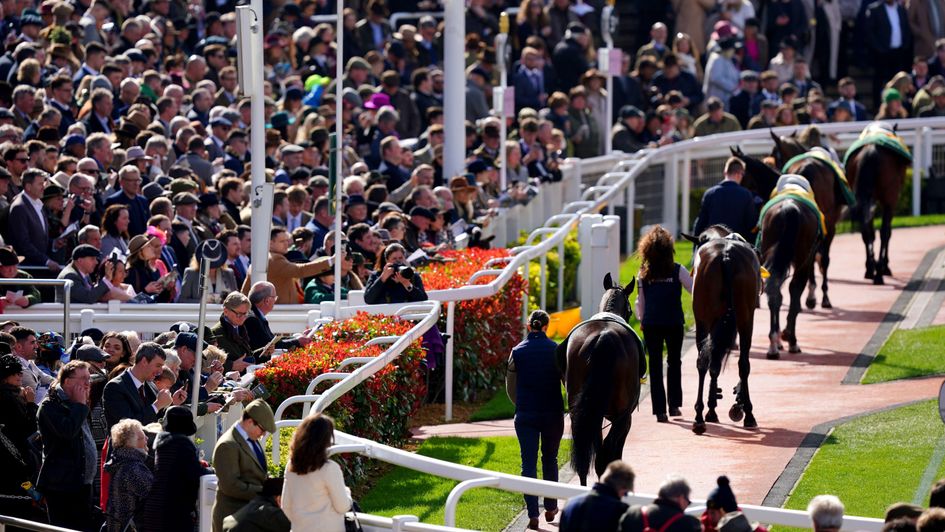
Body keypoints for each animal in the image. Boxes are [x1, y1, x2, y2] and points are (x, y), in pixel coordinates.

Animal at [560, 274, 640, 486]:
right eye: (630, 309)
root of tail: (604, 337)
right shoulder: (625, 419)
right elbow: (613, 453)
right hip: (621, 416)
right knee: (606, 454)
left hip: (581, 411)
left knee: (586, 455)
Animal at [680, 227, 760, 434]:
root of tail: (726, 256)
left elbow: (713, 363)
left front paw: (711, 409)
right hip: (744, 318)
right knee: (742, 364)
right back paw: (748, 414)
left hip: (704, 319)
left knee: (703, 361)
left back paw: (699, 417)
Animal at [760, 187, 820, 358]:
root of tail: (789, 208)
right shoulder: (808, 258)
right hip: (802, 260)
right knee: (794, 290)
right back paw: (791, 340)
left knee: (774, 293)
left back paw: (773, 345)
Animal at [768, 128, 848, 308]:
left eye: (775, 155)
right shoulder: (828, 226)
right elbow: (823, 259)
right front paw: (821, 295)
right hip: (828, 224)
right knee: (822, 259)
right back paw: (819, 297)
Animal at [844, 124, 912, 284]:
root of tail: (871, 151)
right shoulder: (891, 202)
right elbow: (887, 231)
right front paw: (884, 266)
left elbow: (870, 230)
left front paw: (872, 265)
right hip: (889, 197)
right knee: (884, 232)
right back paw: (880, 272)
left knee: (866, 230)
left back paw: (870, 269)